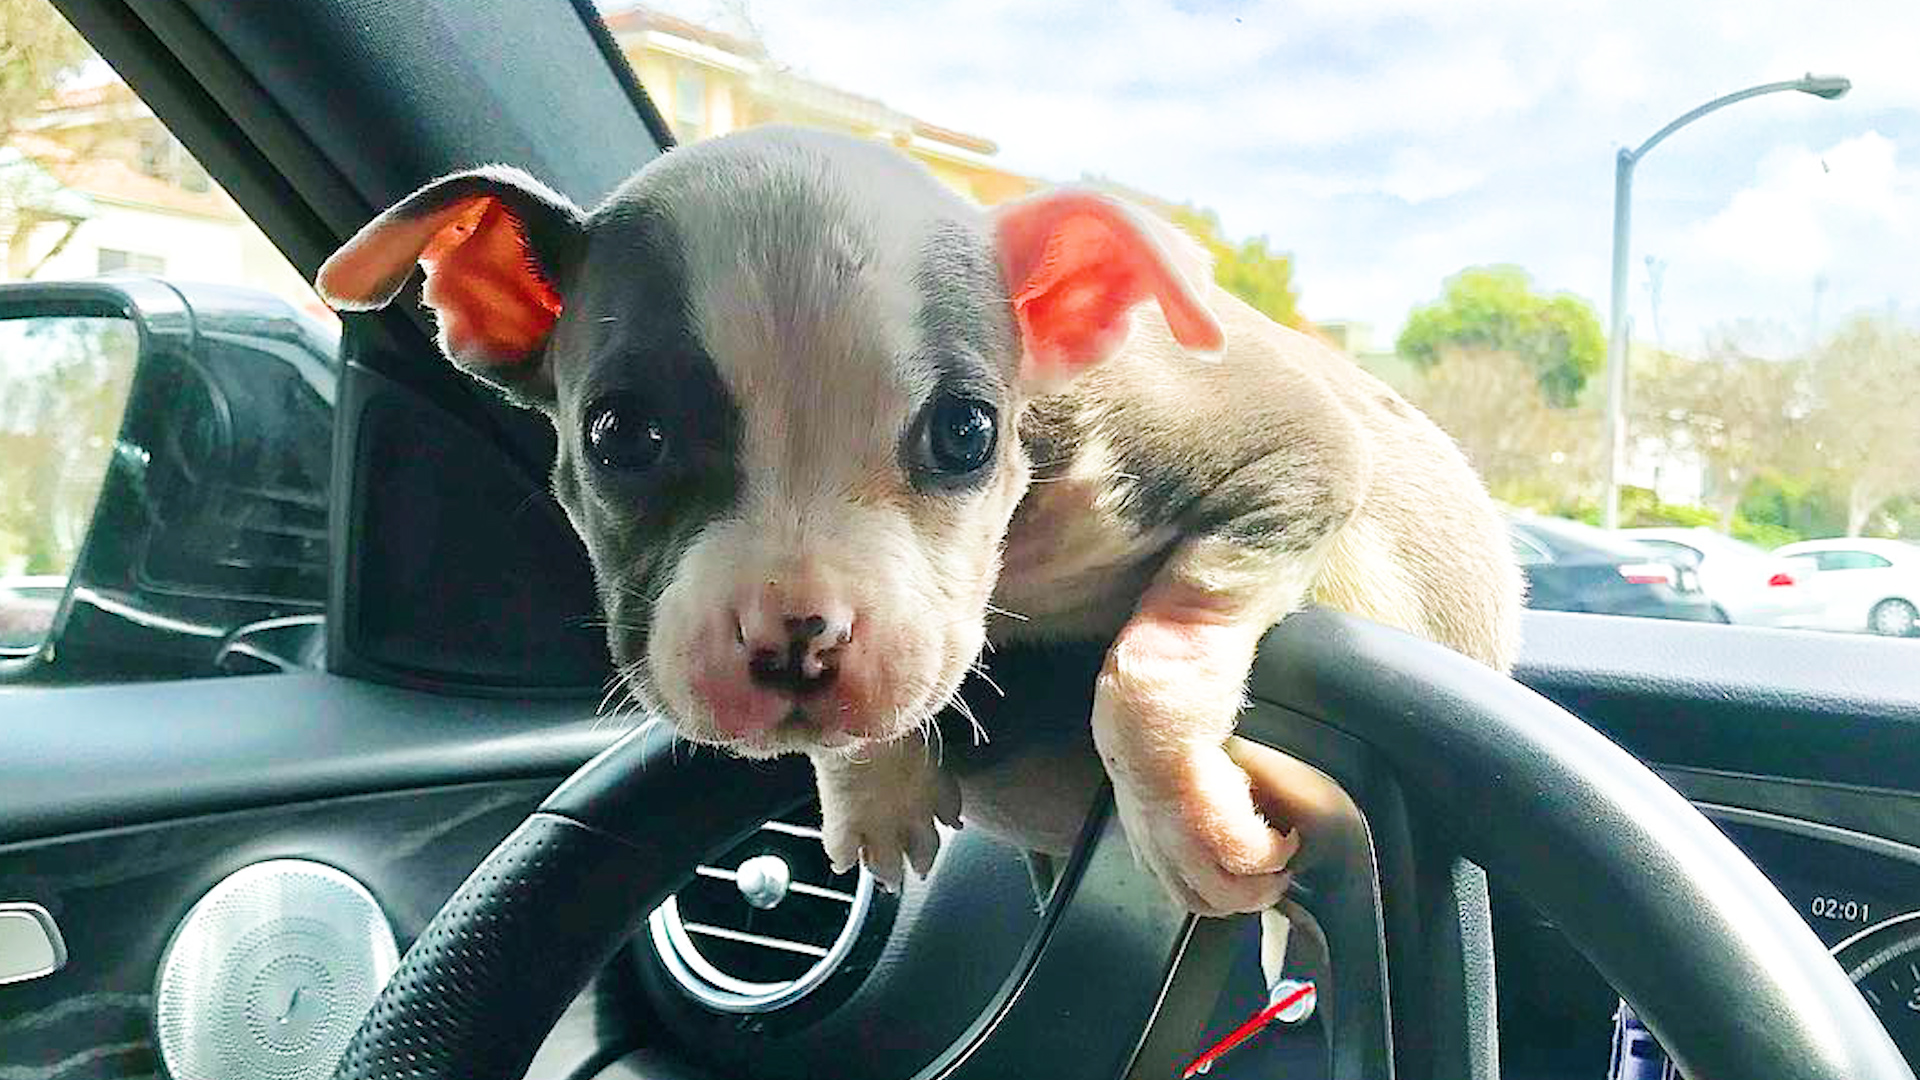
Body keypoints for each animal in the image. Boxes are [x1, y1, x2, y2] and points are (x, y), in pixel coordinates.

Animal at [311, 125, 1512, 914]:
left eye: (967, 434)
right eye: (620, 436)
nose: (795, 638)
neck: (1019, 558)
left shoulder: (1294, 450)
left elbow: (1146, 668)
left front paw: (1193, 827)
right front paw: (873, 785)